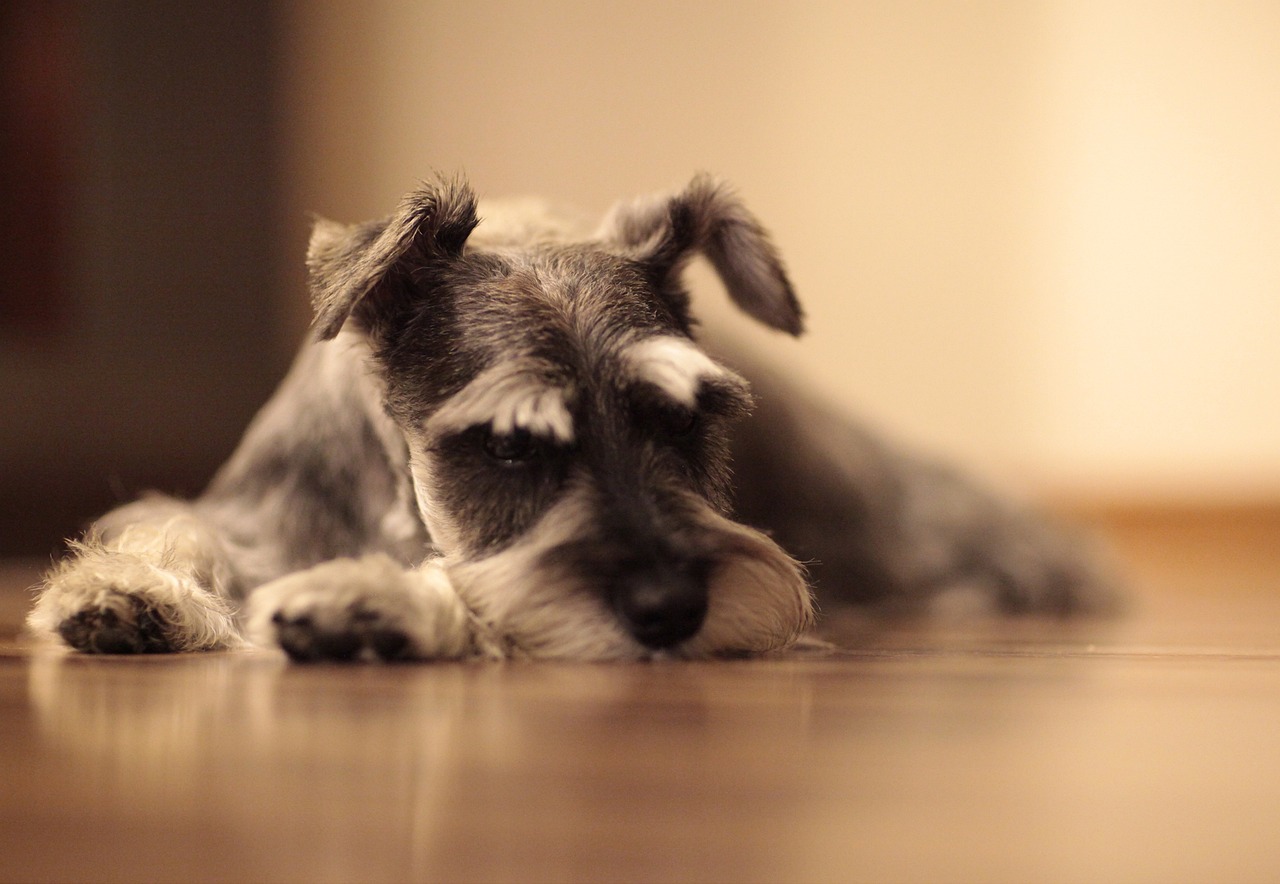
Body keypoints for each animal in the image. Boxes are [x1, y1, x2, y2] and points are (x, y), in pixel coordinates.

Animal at [24, 172, 1116, 660]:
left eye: (684, 419)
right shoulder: (248, 510)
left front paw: (370, 602)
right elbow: (172, 526)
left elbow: (481, 587)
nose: (672, 611)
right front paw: (125, 590)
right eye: (510, 443)